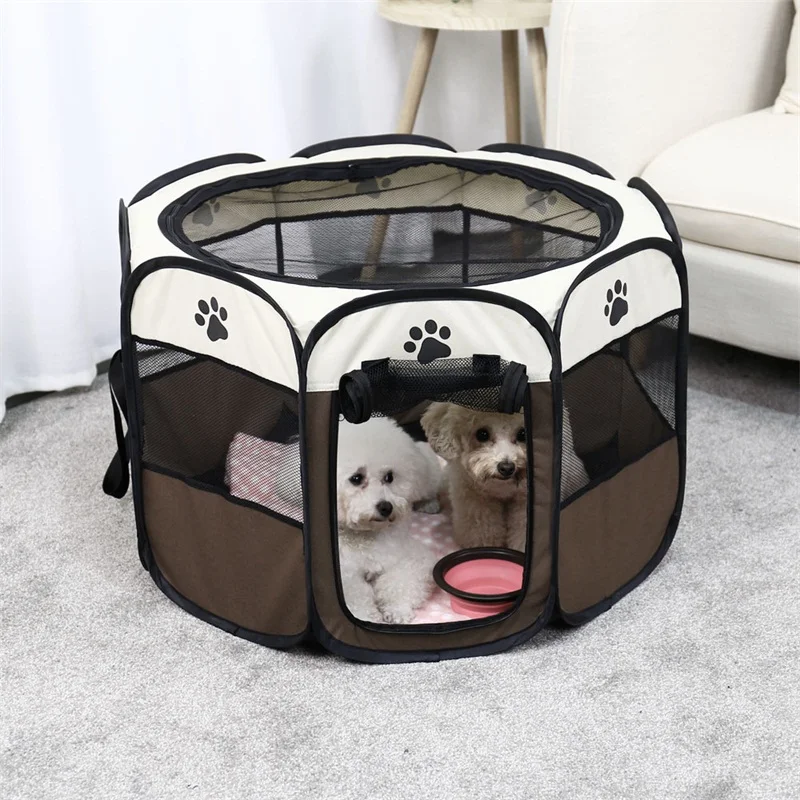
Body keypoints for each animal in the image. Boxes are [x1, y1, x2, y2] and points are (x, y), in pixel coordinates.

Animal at [336, 416, 441, 624]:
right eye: (356, 478)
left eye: (389, 477)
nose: (386, 507)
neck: (366, 536)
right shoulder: (345, 574)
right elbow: (357, 595)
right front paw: (365, 617)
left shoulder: (411, 558)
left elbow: (399, 582)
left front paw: (398, 610)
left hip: (428, 477)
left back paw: (429, 504)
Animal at [421, 403, 589, 552]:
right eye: (482, 434)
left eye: (523, 434)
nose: (507, 468)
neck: (502, 488)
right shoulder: (475, 498)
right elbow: (482, 529)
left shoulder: (524, 503)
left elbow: (522, 531)